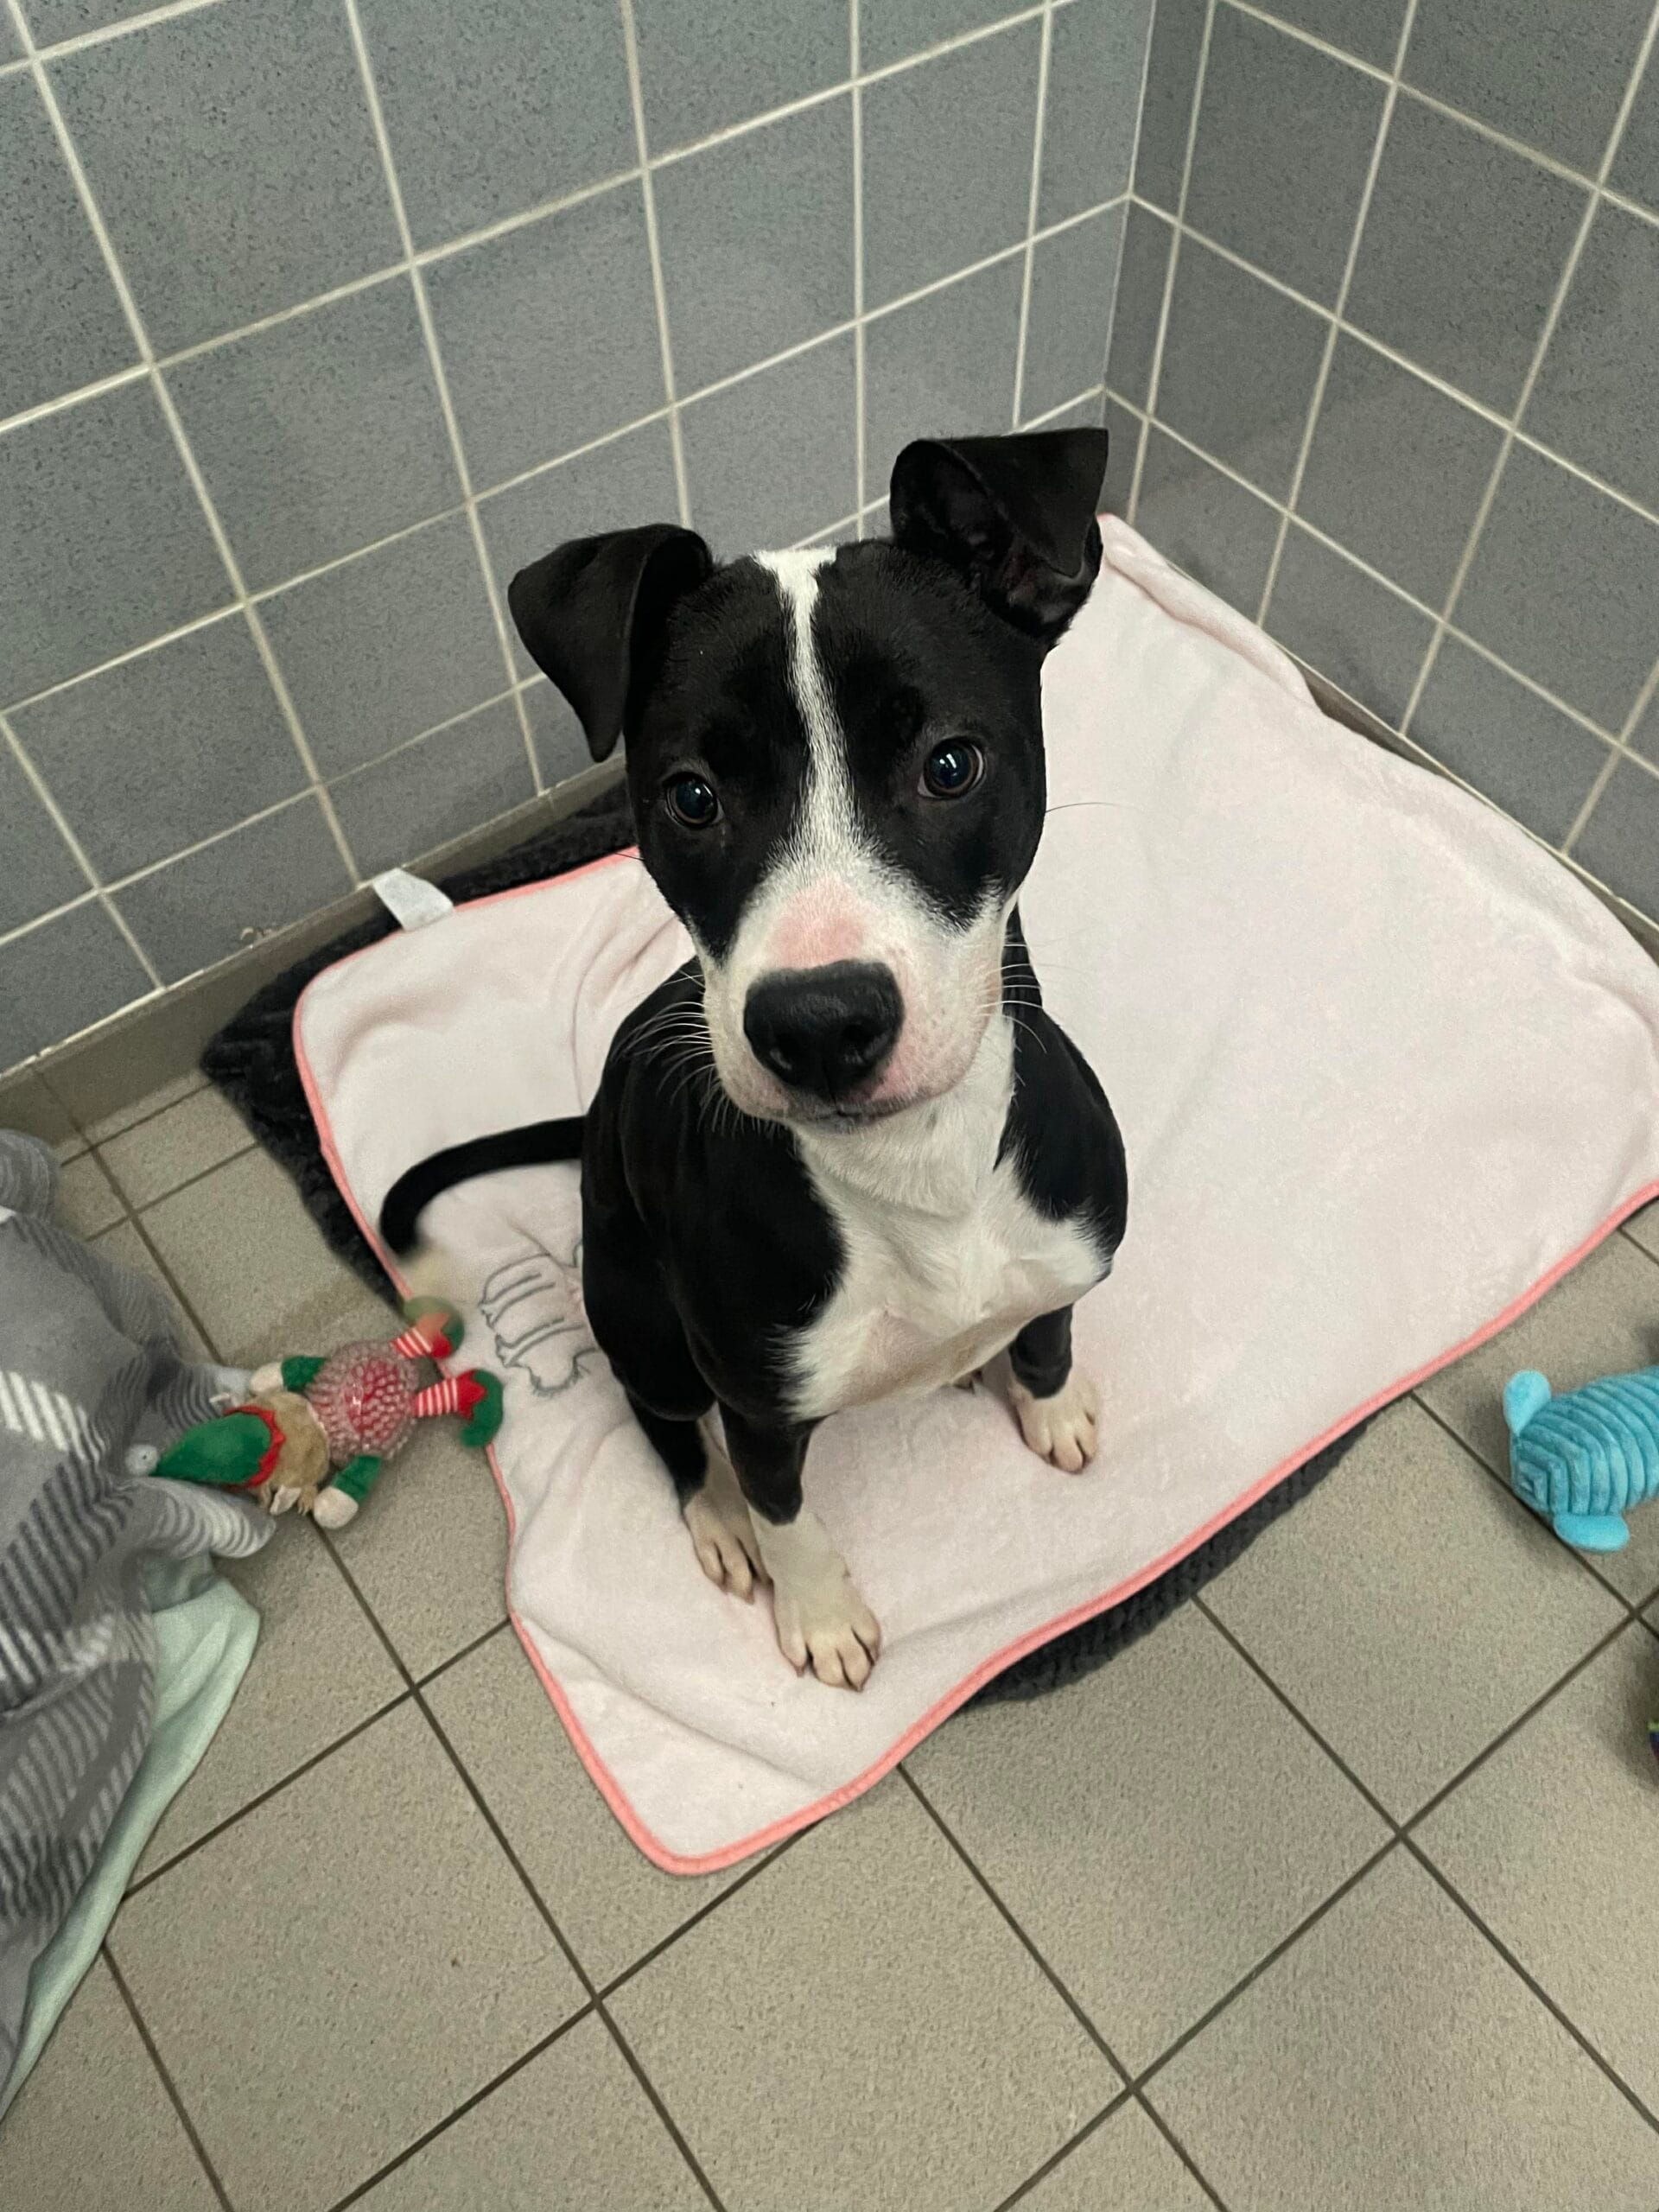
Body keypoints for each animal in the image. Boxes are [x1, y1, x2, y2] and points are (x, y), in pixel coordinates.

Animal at [382, 429, 1128, 1690]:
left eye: (950, 765)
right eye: (692, 796)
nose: (821, 1023)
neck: (918, 1172)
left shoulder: (1064, 1248)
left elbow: (1050, 1326)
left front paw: (1050, 1400)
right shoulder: (762, 1401)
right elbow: (791, 1515)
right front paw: (818, 1613)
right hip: (636, 1310)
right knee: (666, 1425)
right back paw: (716, 1516)